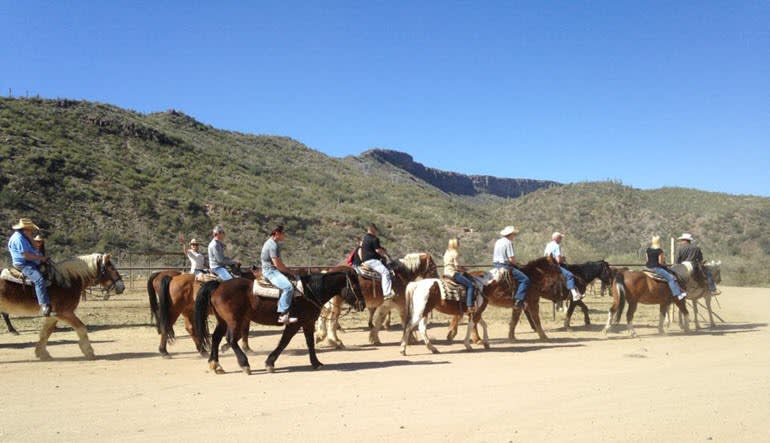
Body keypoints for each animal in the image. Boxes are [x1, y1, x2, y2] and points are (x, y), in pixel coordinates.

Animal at [190, 268, 362, 376]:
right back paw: (244, 365)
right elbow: (284, 342)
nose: (362, 304)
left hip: (223, 321)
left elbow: (309, 343)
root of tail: (219, 285)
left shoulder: (307, 322)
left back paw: (215, 365)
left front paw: (316, 362)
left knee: (216, 338)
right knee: (230, 339)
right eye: (355, 285)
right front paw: (270, 363)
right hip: (234, 320)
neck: (309, 292)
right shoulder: (295, 323)